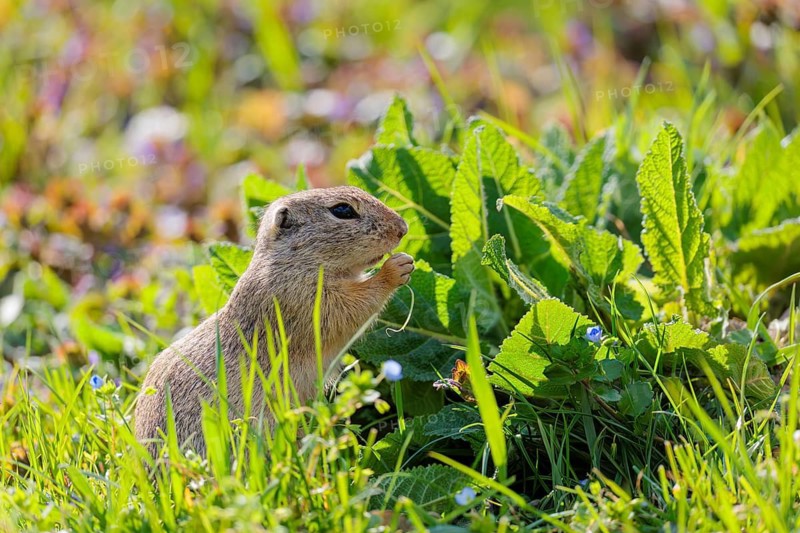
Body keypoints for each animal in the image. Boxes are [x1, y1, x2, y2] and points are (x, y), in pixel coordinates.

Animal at [134, 186, 413, 455]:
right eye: (342, 210)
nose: (403, 228)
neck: (292, 261)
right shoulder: (303, 298)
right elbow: (351, 307)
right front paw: (396, 268)